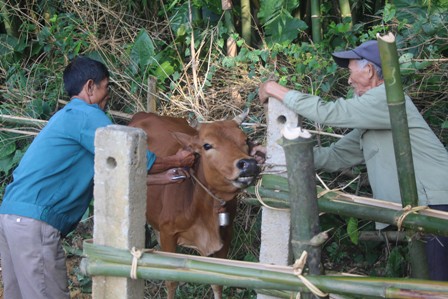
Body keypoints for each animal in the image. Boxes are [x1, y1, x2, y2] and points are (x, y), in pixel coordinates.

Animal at [128, 110, 260, 299]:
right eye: (207, 145)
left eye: (246, 139)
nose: (248, 164)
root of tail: (142, 113)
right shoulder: (169, 234)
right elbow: (171, 280)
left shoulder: (226, 234)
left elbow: (217, 281)